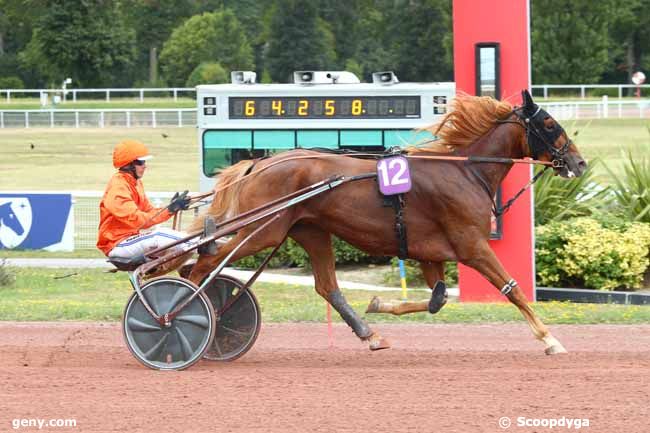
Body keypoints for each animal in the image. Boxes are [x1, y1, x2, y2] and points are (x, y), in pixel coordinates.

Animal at [185, 90, 584, 354]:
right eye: (549, 123)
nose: (578, 163)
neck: (464, 171)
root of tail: (258, 163)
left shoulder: (430, 253)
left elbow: (438, 299)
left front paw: (379, 304)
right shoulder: (472, 246)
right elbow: (512, 289)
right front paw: (550, 339)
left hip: (311, 231)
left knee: (327, 286)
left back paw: (371, 334)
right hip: (262, 231)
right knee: (204, 261)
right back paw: (189, 311)